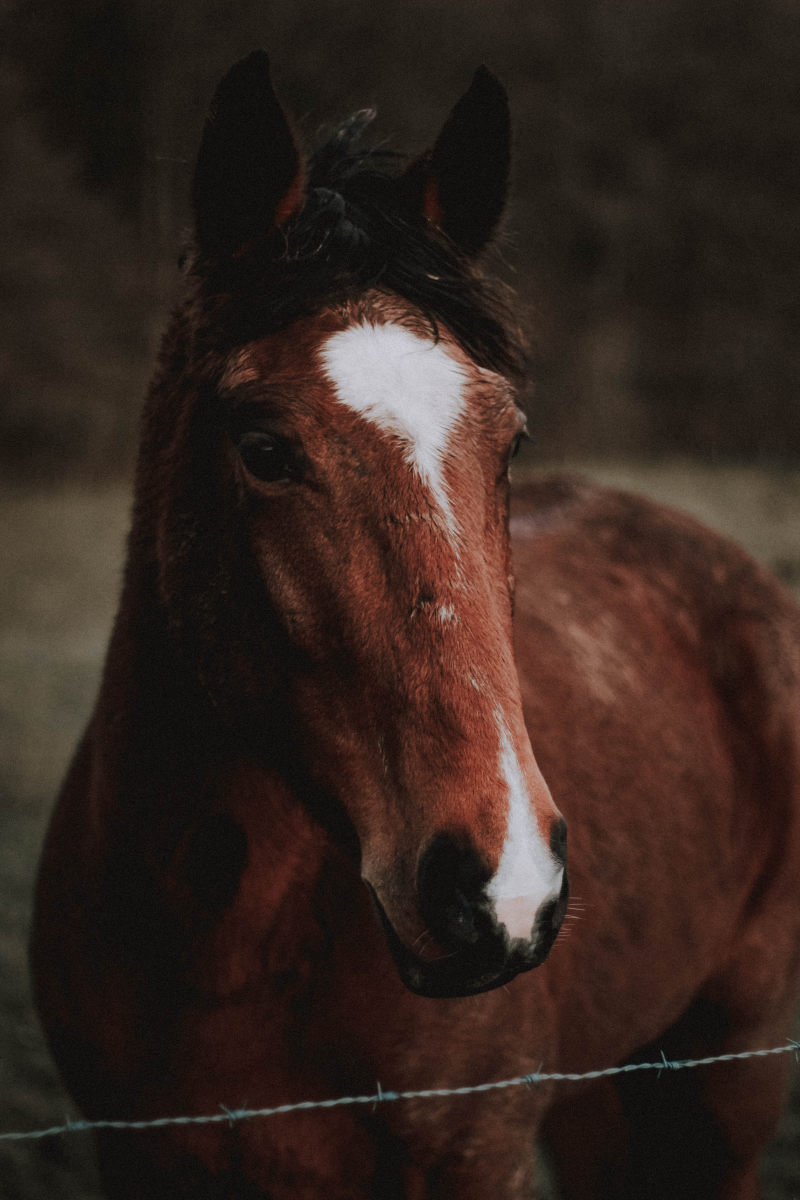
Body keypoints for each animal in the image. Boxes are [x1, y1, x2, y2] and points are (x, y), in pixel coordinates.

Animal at [29, 54, 800, 1200]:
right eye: (263, 449)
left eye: (509, 441)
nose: (504, 885)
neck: (223, 944)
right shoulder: (137, 1156)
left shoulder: (475, 1152)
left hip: (726, 1079)